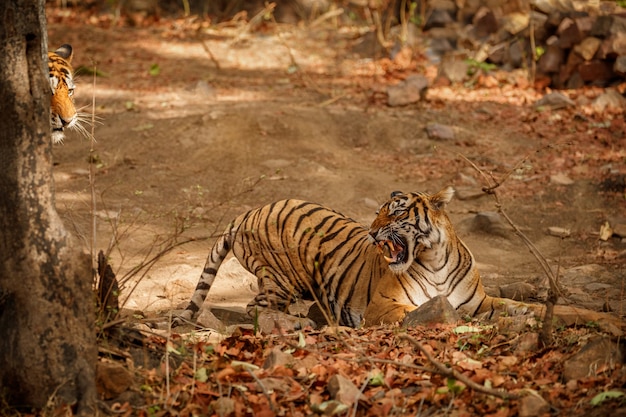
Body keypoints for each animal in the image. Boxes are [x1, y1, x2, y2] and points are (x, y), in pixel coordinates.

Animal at [176, 187, 624, 330]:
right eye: (377, 213)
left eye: (393, 213)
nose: (372, 232)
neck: (436, 259)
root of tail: (247, 212)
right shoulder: (384, 305)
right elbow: (420, 313)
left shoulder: (484, 302)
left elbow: (545, 308)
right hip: (283, 278)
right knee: (256, 309)